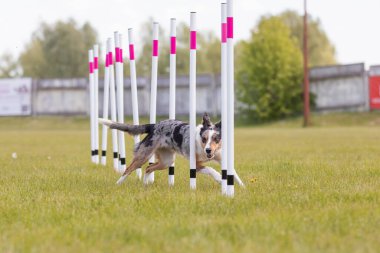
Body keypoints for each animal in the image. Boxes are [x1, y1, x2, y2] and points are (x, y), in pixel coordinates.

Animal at [98, 112, 243, 186]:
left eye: (216, 139)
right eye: (204, 139)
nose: (208, 150)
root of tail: (154, 125)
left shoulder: (221, 157)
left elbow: (234, 173)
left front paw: (242, 187)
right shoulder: (195, 165)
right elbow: (211, 169)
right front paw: (219, 178)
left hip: (166, 161)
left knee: (148, 168)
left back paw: (145, 184)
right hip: (143, 155)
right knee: (128, 169)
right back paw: (118, 184)